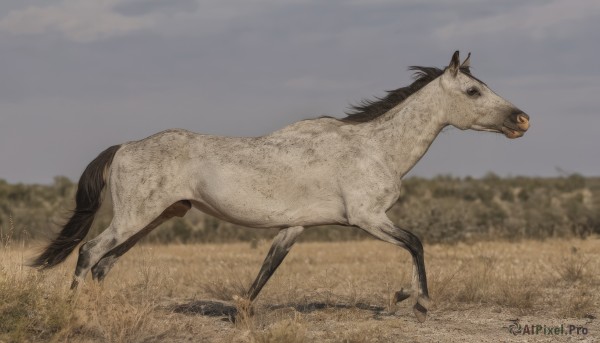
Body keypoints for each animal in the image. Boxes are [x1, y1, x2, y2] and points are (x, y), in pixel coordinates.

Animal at [31, 51, 528, 322]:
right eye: (473, 92)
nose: (522, 119)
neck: (374, 147)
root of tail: (124, 146)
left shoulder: (297, 227)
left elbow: (265, 272)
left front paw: (241, 313)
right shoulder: (368, 218)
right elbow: (416, 242)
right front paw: (419, 301)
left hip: (152, 220)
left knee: (104, 264)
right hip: (135, 217)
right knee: (89, 253)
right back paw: (73, 313)